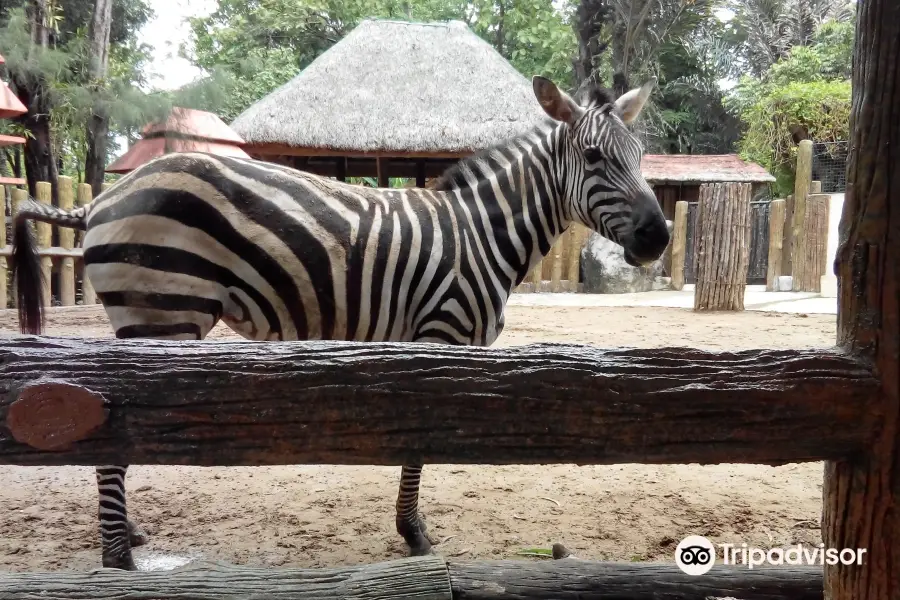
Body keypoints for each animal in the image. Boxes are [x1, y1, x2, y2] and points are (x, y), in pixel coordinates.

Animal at [8, 74, 668, 568]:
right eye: (594, 158)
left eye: (640, 158)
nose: (658, 237)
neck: (482, 235)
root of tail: (103, 198)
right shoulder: (441, 337)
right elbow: (420, 445)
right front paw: (414, 535)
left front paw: (409, 528)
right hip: (163, 316)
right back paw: (118, 558)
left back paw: (128, 537)